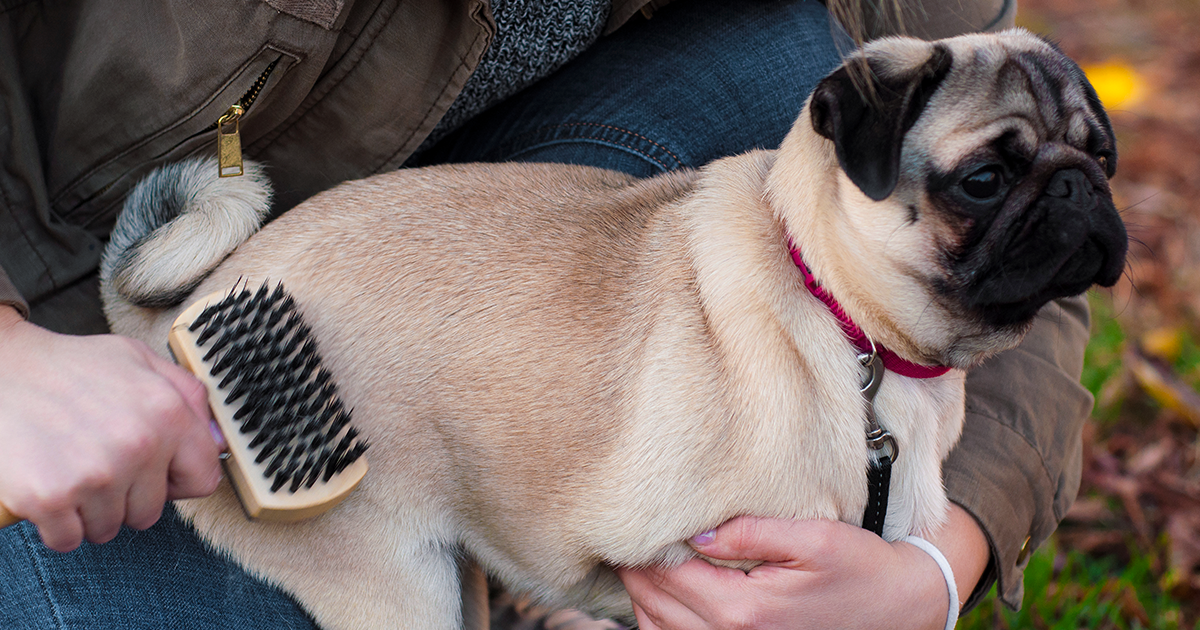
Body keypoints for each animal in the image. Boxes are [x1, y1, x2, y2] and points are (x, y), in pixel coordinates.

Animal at [100, 27, 1123, 624]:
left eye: (1101, 153)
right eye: (982, 181)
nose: (1080, 188)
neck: (841, 316)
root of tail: (187, 321)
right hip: (394, 581)